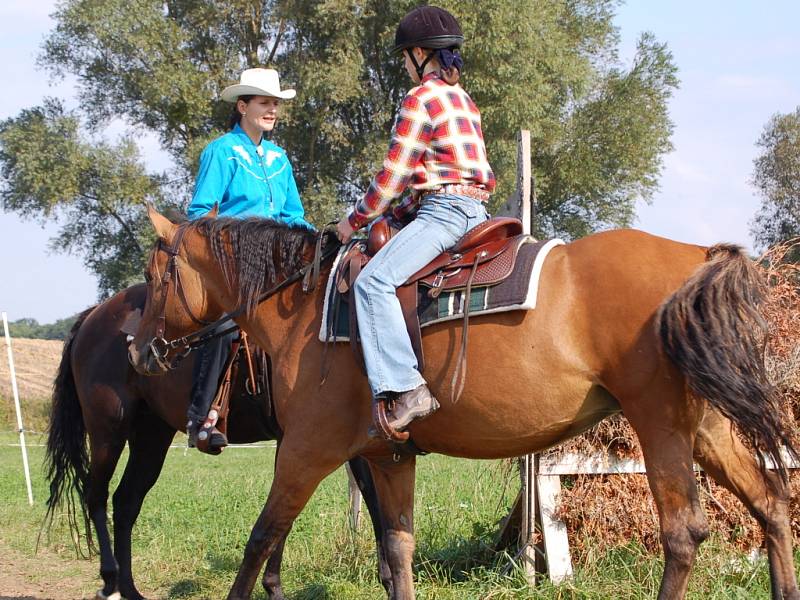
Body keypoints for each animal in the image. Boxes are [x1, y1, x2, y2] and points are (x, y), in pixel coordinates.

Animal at [47, 282, 390, 600]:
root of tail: (96, 313)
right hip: (108, 430)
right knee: (96, 496)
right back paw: (110, 582)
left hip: (150, 436)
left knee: (126, 501)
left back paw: (130, 588)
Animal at [128, 207, 796, 600]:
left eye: (155, 276)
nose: (138, 349)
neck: (307, 309)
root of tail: (697, 256)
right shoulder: (389, 458)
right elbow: (397, 552)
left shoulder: (305, 452)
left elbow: (261, 539)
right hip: (705, 427)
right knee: (771, 505)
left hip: (660, 424)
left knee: (684, 534)